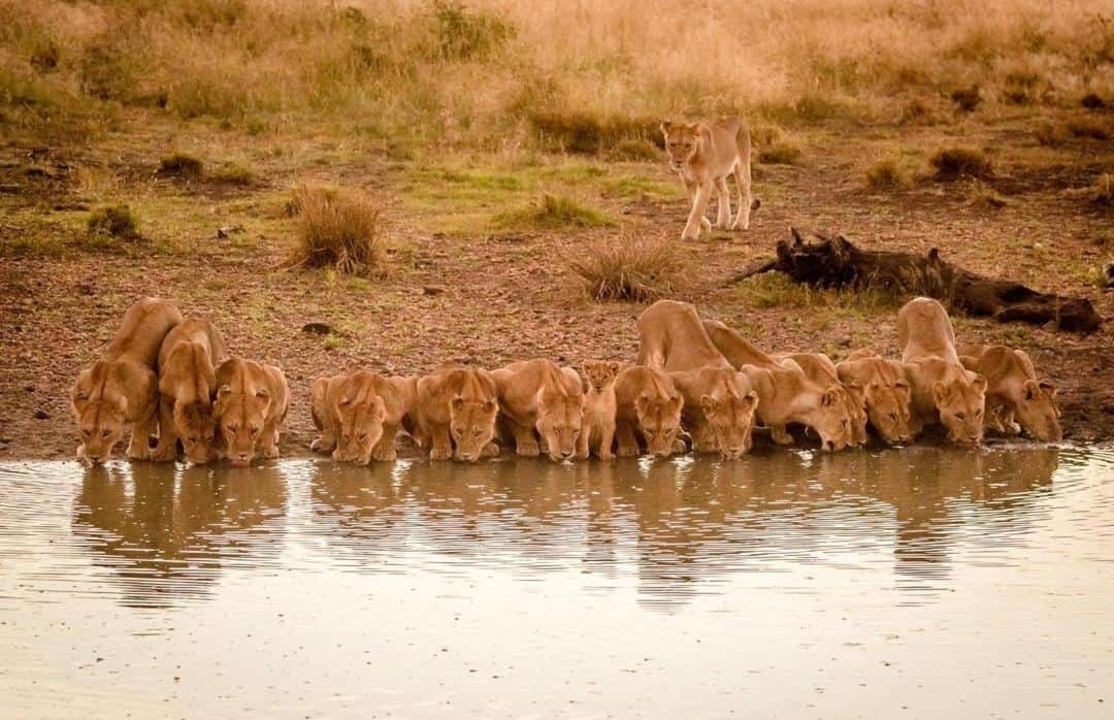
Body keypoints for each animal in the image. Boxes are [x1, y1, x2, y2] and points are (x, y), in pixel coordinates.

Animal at [71, 297, 183, 464]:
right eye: (86, 431)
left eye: (107, 432)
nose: (95, 458)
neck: (103, 392)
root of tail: (157, 299)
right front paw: (83, 452)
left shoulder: (151, 393)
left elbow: (141, 426)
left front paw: (137, 452)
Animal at [154, 317, 227, 464]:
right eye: (191, 439)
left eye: (209, 438)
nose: (200, 462)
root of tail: (199, 318)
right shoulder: (164, 397)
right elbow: (168, 426)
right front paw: (165, 453)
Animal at [898, 297, 987, 445]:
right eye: (959, 416)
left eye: (978, 412)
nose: (974, 437)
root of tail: (921, 298)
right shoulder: (909, 370)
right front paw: (911, 430)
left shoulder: (969, 374)